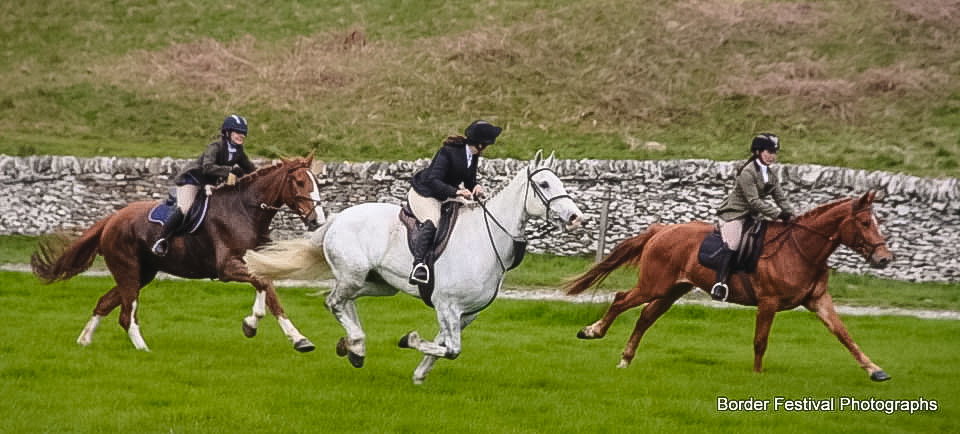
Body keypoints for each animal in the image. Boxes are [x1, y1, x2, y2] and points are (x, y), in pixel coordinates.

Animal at [31, 156, 326, 352]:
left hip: (142, 274)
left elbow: (270, 293)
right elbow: (263, 285)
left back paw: (84, 340)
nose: (317, 221)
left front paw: (297, 338)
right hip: (128, 270)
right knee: (127, 314)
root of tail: (112, 219)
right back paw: (143, 348)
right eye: (299, 181)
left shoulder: (253, 262)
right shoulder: (228, 268)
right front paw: (254, 324)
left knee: (105, 303)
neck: (246, 210)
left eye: (316, 183)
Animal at [245, 151, 584, 383]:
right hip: (355, 275)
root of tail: (337, 218)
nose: (575, 218)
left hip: (377, 283)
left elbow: (444, 344)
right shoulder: (447, 305)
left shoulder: (466, 314)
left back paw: (354, 346)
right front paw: (410, 341)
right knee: (334, 301)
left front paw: (419, 374)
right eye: (544, 184)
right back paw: (354, 344)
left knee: (345, 301)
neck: (487, 239)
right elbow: (451, 348)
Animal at [565, 191, 895, 381]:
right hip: (653, 285)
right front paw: (757, 377)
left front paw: (875, 370)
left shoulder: (818, 300)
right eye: (865, 223)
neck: (800, 248)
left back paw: (625, 359)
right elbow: (761, 341)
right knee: (621, 299)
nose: (884, 258)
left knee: (646, 317)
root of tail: (662, 230)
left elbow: (844, 335)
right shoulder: (769, 301)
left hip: (672, 290)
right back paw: (592, 332)